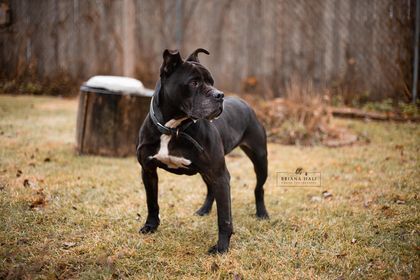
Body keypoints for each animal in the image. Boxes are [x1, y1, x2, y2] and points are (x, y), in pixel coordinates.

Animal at [138, 48, 270, 254]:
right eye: (194, 83)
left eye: (211, 82)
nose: (220, 95)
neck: (173, 128)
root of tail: (244, 102)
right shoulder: (148, 170)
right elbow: (152, 202)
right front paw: (150, 226)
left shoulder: (220, 174)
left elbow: (224, 217)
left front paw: (221, 247)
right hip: (206, 171)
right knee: (210, 189)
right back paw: (204, 210)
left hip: (260, 159)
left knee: (259, 188)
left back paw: (262, 213)